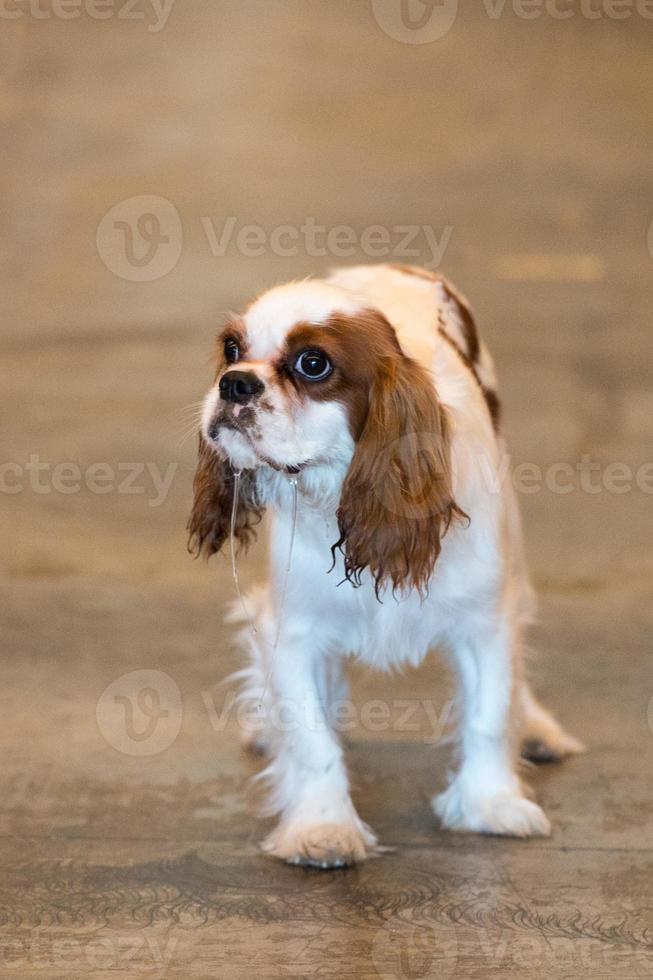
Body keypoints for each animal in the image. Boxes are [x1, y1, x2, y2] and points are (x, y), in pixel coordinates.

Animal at [187, 260, 580, 864]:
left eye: (313, 363)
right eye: (232, 348)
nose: (235, 382)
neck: (342, 494)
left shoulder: (482, 622)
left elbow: (491, 711)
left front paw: (490, 806)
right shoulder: (295, 632)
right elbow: (312, 739)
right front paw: (323, 828)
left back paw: (535, 727)